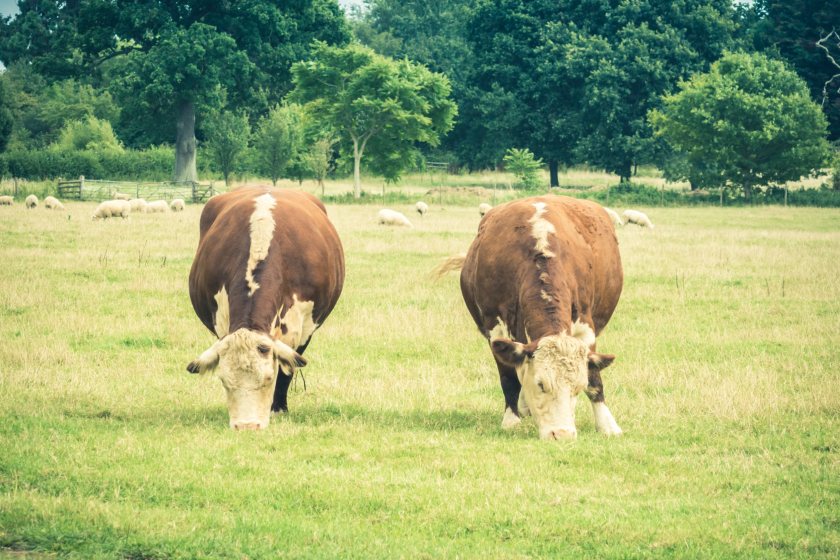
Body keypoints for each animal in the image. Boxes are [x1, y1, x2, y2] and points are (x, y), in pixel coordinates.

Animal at [187, 186, 344, 430]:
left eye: (268, 378)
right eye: (224, 381)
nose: (246, 426)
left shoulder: (298, 326)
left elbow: (287, 370)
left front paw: (279, 408)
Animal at [440, 195, 624, 440]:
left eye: (577, 387)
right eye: (541, 384)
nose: (562, 434)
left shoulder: (585, 328)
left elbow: (594, 379)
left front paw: (606, 423)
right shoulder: (495, 328)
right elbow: (508, 376)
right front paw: (511, 420)